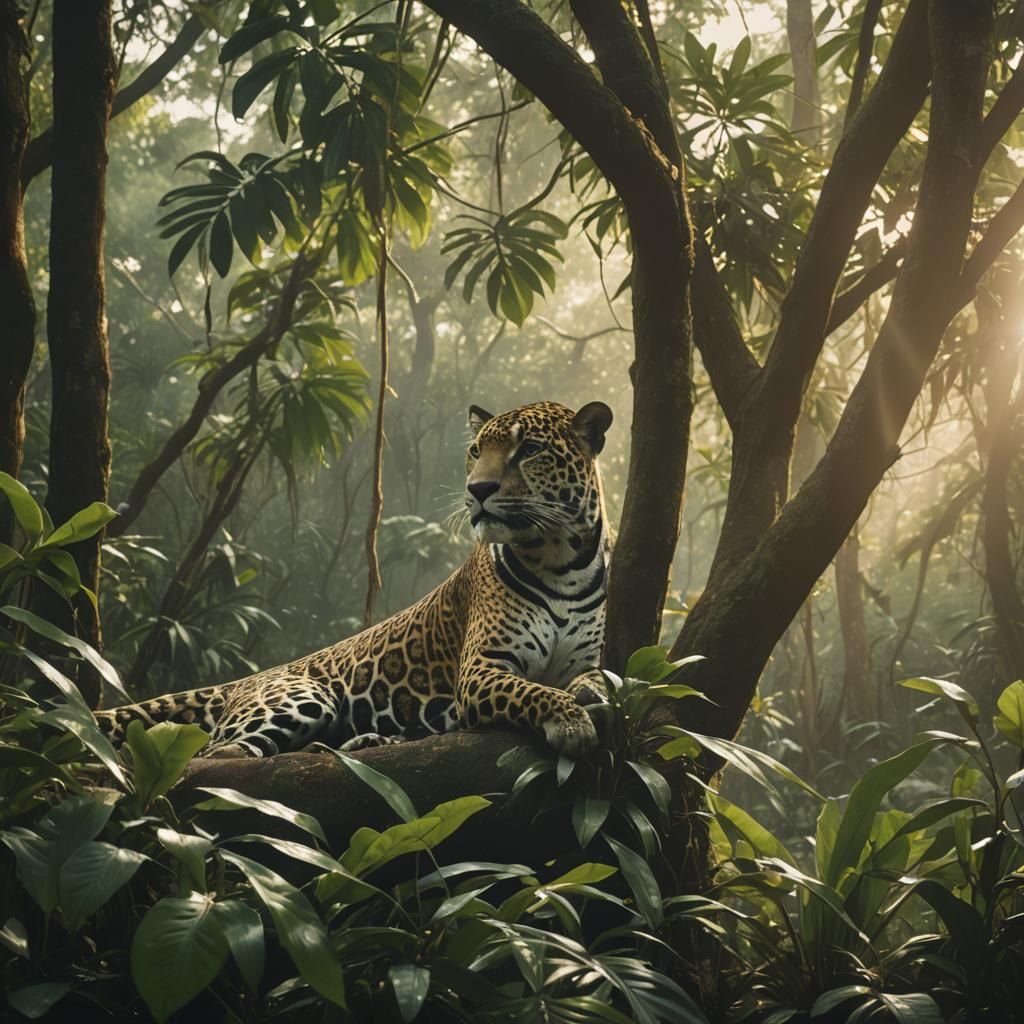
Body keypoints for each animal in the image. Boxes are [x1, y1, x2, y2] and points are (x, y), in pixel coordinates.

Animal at [95, 400, 614, 759]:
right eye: (475, 451)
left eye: (530, 450)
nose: (477, 490)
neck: (561, 561)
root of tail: (251, 677)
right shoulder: (481, 670)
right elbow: (534, 690)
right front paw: (570, 721)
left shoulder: (582, 660)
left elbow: (595, 679)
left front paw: (594, 695)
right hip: (299, 699)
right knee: (212, 753)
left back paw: (362, 742)